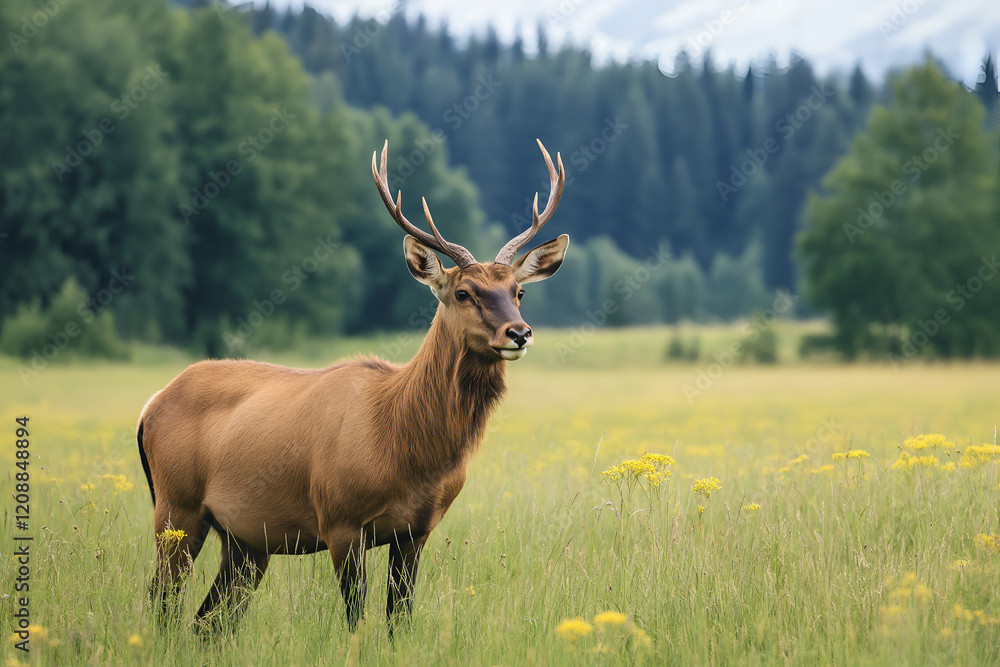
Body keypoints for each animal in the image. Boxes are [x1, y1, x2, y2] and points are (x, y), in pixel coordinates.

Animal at [137, 139, 568, 634]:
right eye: (464, 293)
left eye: (519, 291)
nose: (519, 333)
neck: (404, 444)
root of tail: (151, 405)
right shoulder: (340, 517)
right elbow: (356, 618)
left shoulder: (417, 529)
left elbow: (399, 617)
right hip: (176, 506)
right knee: (162, 601)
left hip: (245, 540)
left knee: (207, 621)